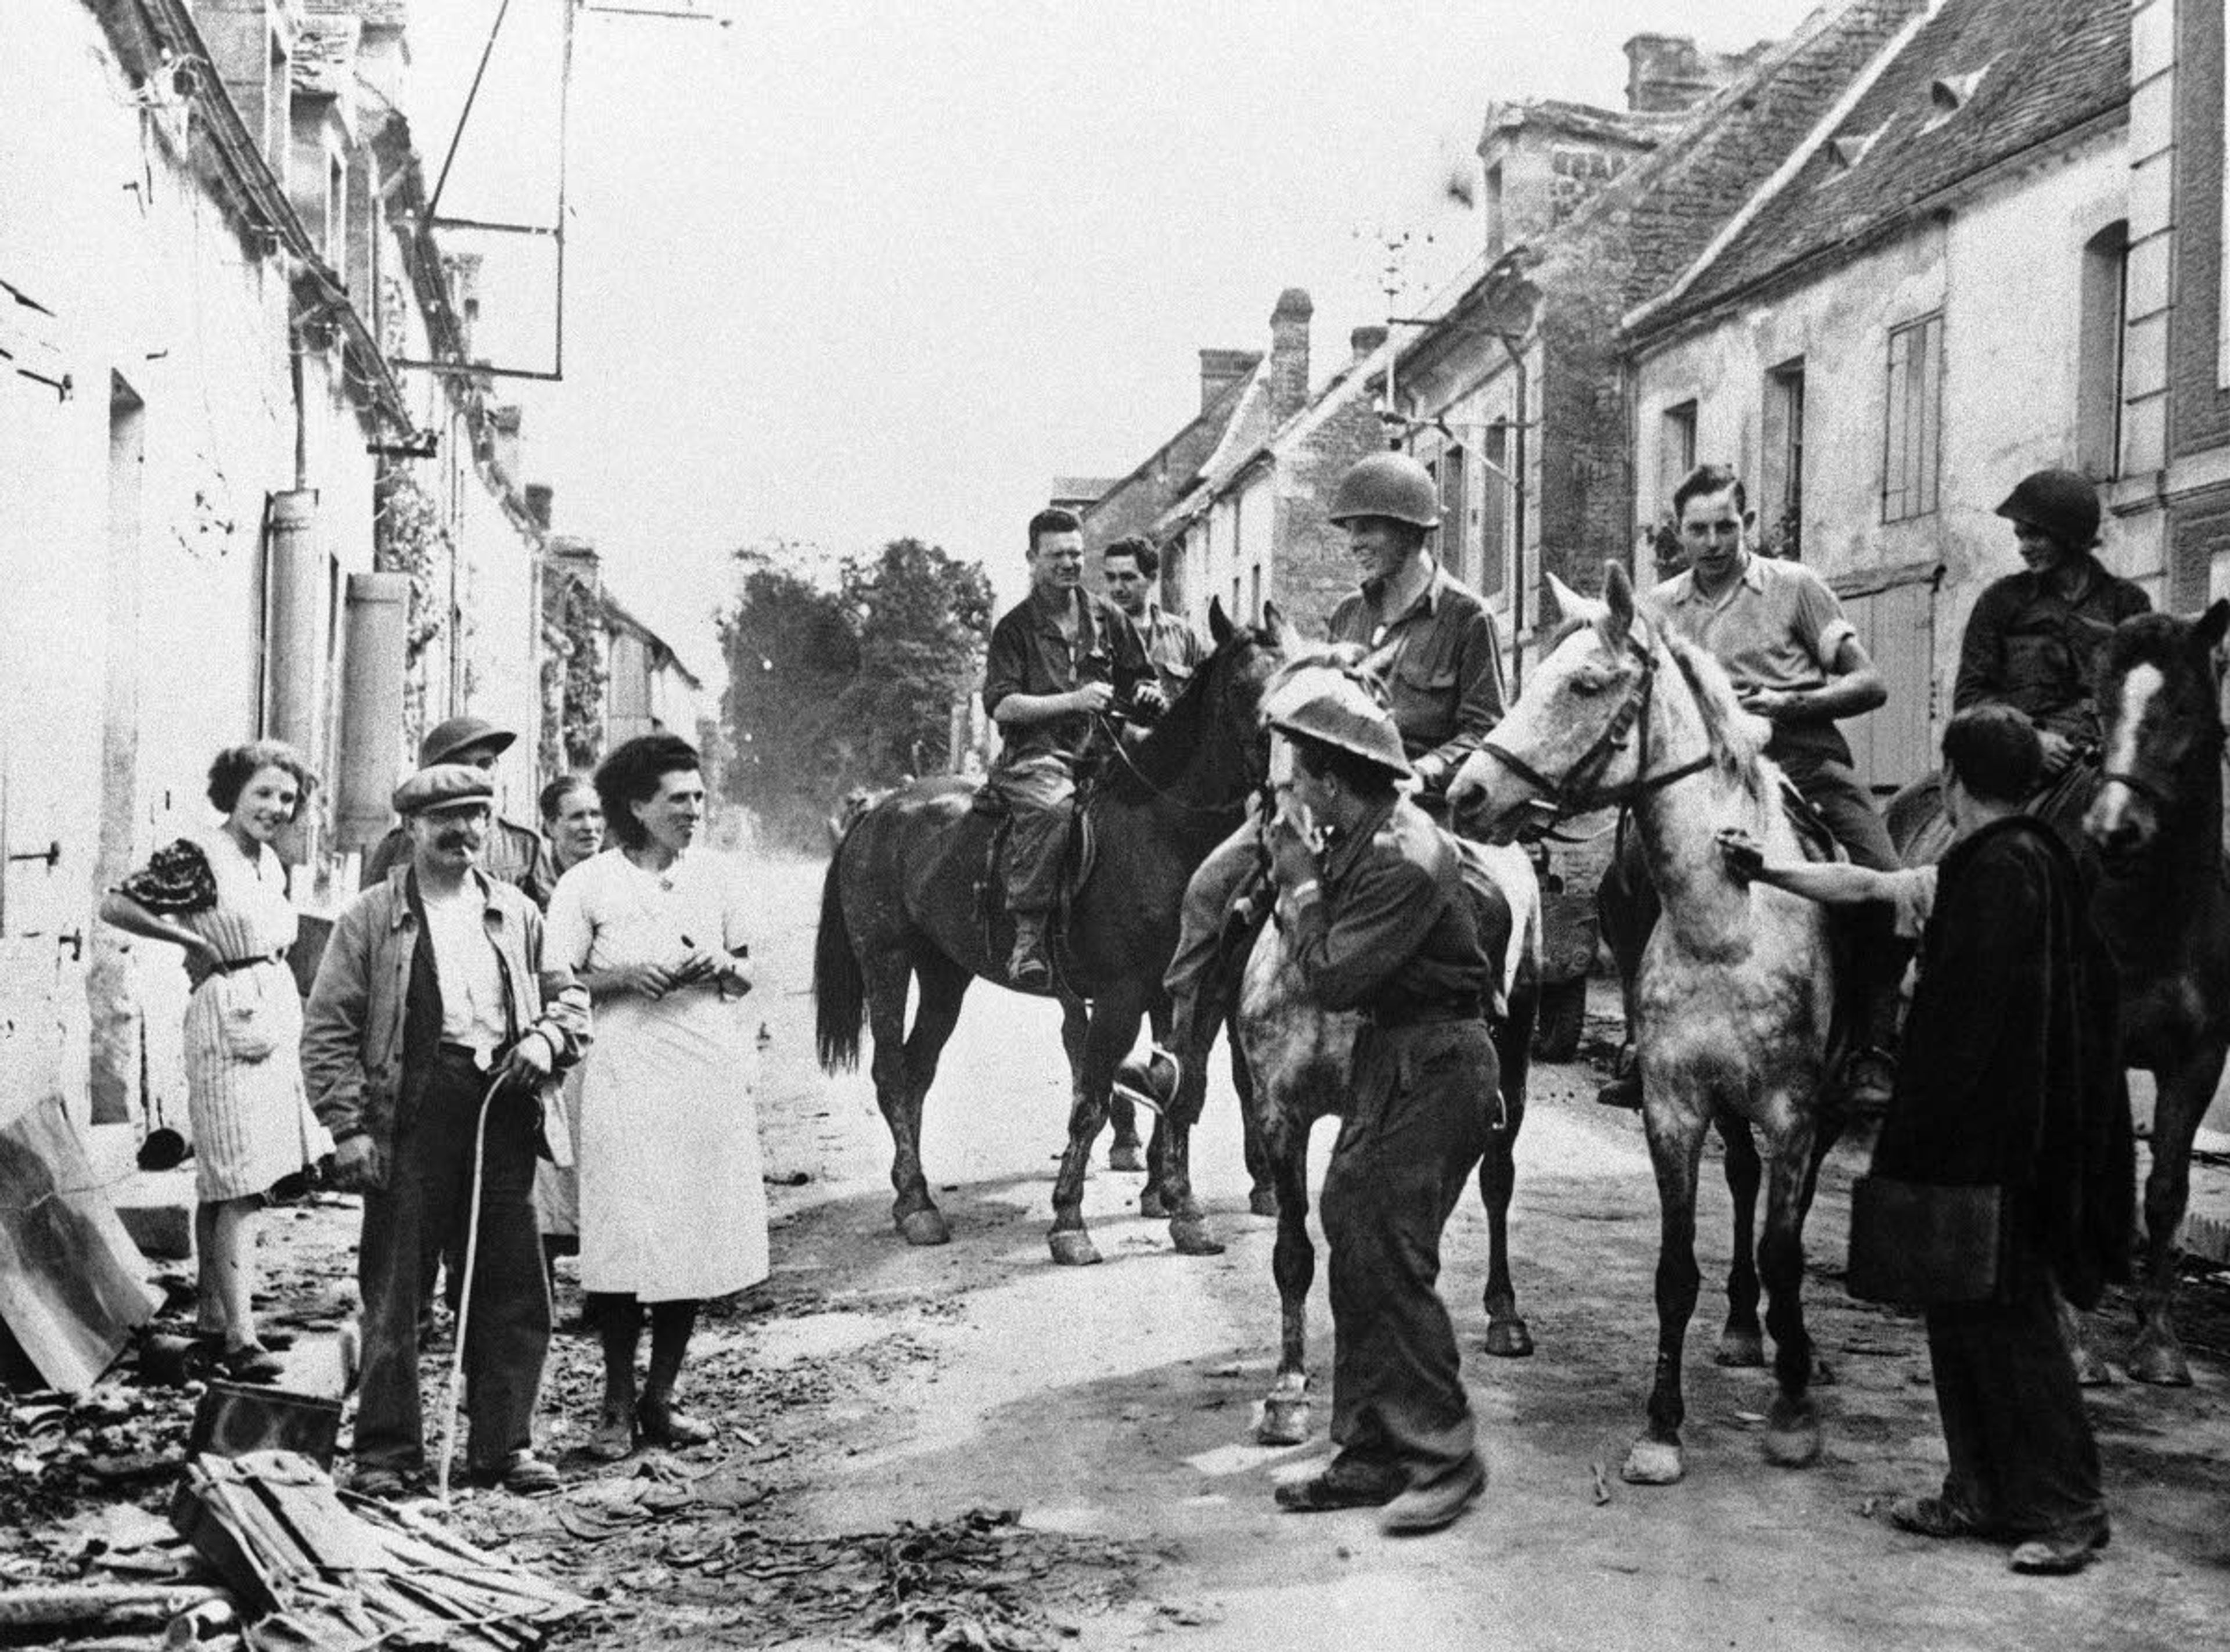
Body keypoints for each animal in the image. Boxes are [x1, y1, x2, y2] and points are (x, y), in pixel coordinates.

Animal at [816, 606, 1293, 1266]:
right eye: (1246, 686)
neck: (1164, 832)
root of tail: (876, 811)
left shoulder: (1198, 995)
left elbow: (1183, 1092)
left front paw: (1186, 1211)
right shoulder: (1121, 996)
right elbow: (1090, 1101)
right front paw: (1070, 1220)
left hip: (944, 975)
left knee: (916, 1073)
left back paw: (910, 1195)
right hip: (886, 962)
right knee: (890, 1075)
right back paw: (917, 1206)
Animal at [1454, 564, 1837, 1480]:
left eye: (1587, 684)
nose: (1466, 792)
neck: (1728, 922)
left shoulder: (1794, 1110)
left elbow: (1785, 1249)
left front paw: (1792, 1415)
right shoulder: (1674, 1106)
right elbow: (1674, 1270)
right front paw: (1662, 1427)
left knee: (1786, 1214)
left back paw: (1794, 1346)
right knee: (1744, 1181)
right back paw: (1743, 1327)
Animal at [1900, 602, 2230, 1382]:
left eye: (2185, 705)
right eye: (2103, 712)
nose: (2114, 828)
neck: (2155, 908)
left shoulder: (2199, 1059)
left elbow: (2167, 1193)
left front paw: (2159, 1342)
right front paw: (2078, 1342)